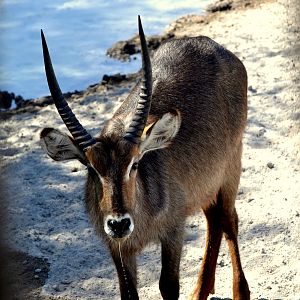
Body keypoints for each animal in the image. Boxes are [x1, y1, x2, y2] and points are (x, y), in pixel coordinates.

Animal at [40, 17, 251, 300]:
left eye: (135, 163)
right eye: (91, 168)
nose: (119, 224)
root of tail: (211, 45)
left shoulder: (174, 231)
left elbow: (168, 286)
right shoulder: (118, 247)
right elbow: (129, 293)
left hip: (230, 170)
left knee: (229, 221)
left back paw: (239, 291)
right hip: (207, 184)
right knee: (214, 220)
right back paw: (200, 291)